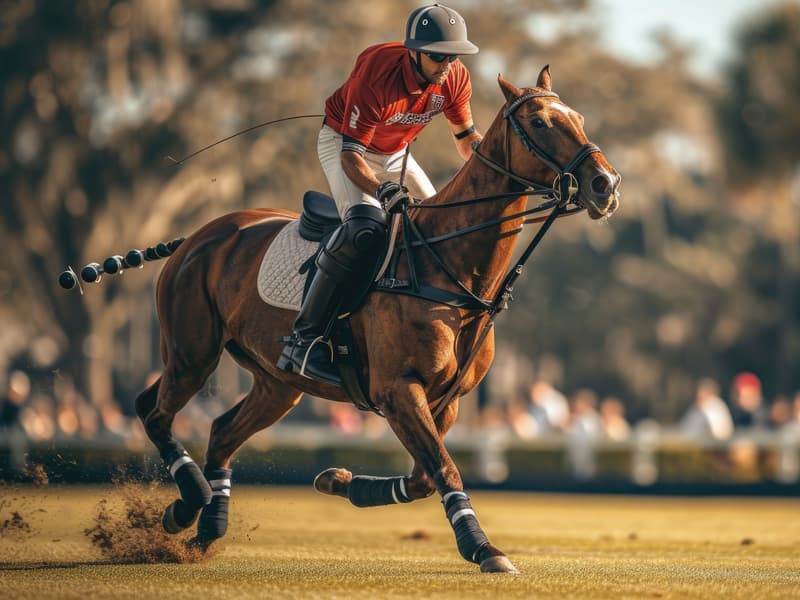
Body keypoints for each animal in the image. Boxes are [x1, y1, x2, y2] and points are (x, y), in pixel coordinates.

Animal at [134, 67, 620, 576]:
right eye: (540, 122)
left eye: (578, 117)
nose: (606, 185)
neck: (449, 270)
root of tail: (197, 235)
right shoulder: (397, 389)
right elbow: (444, 467)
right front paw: (484, 549)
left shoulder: (448, 400)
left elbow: (425, 475)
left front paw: (339, 481)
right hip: (192, 352)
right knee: (155, 412)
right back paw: (185, 506)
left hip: (276, 383)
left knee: (221, 431)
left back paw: (207, 527)